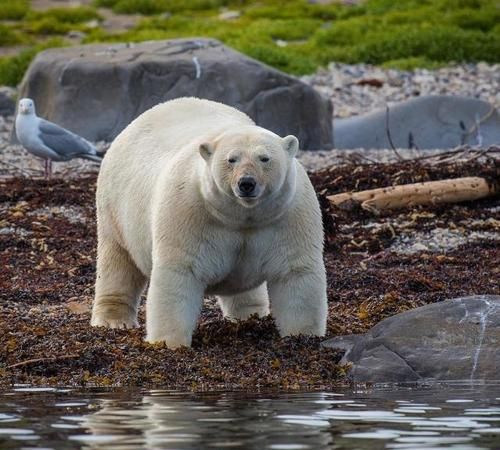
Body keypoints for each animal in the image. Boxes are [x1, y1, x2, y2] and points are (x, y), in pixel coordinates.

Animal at [91, 96, 328, 346]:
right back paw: (112, 320)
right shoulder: (188, 211)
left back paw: (249, 315)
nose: (246, 183)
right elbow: (179, 271)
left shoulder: (288, 214)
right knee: (117, 262)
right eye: (231, 159)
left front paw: (303, 337)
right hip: (115, 208)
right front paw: (169, 343)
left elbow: (295, 271)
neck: (242, 216)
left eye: (264, 158)